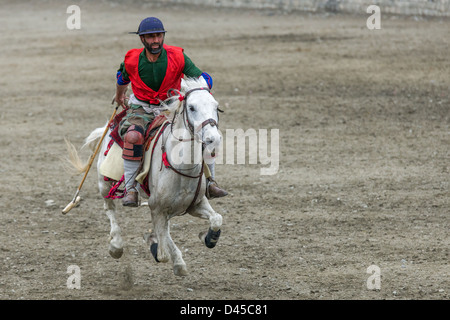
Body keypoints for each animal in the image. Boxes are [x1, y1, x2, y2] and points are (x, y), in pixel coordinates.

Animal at [68, 77, 223, 276]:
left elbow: (217, 219)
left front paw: (208, 238)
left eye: (216, 107)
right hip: (104, 181)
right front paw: (154, 244)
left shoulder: (195, 204)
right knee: (109, 207)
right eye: (192, 107)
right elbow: (163, 253)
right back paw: (116, 245)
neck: (182, 169)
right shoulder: (157, 207)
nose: (213, 139)